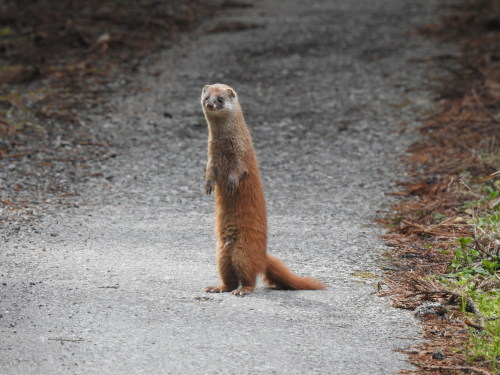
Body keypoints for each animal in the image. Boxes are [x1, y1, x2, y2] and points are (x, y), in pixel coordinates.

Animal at [201, 83, 326, 296]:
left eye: (220, 99)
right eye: (207, 96)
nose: (210, 104)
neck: (223, 146)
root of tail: (263, 255)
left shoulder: (242, 154)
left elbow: (239, 170)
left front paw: (231, 183)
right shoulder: (211, 157)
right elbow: (209, 171)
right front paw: (208, 185)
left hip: (243, 251)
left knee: (249, 277)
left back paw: (243, 290)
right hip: (221, 255)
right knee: (229, 280)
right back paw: (216, 287)